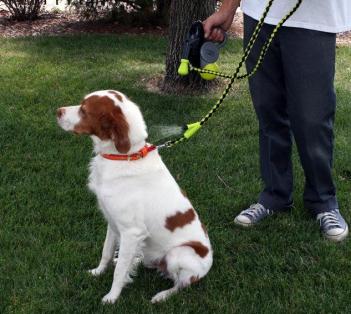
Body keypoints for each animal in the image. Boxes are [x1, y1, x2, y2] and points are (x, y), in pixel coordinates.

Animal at [56, 91, 213, 304]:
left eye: (84, 110)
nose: (58, 111)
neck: (124, 156)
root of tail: (208, 265)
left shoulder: (131, 231)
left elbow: (119, 272)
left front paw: (111, 297)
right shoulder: (113, 221)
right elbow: (106, 252)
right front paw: (98, 271)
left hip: (178, 254)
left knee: (181, 284)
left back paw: (162, 295)